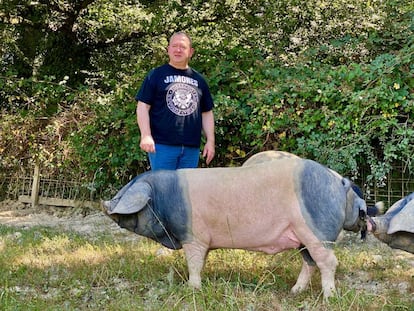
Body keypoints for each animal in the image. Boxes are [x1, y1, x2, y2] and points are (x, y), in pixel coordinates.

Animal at [102, 154, 368, 300]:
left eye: (126, 195)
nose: (106, 205)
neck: (164, 199)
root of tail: (339, 182)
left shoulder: (195, 237)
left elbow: (194, 264)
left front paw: (192, 288)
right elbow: (202, 262)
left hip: (317, 232)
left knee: (329, 262)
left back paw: (329, 297)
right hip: (303, 238)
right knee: (310, 262)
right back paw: (295, 291)